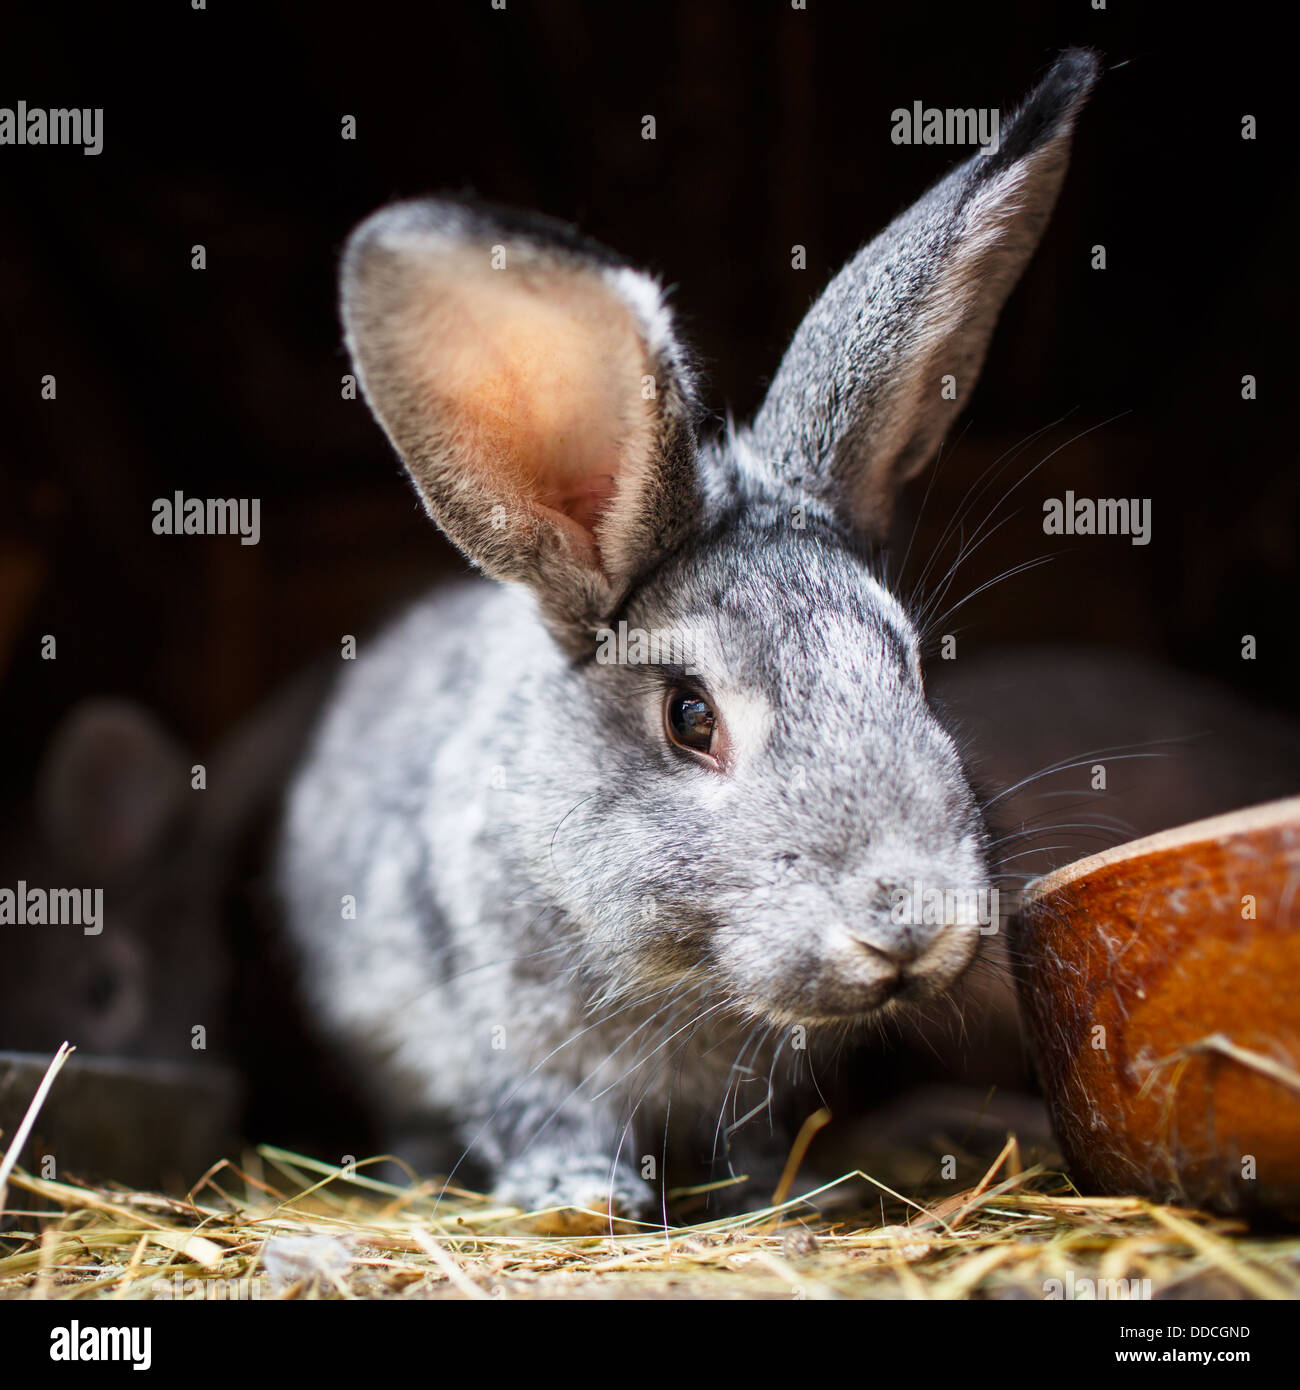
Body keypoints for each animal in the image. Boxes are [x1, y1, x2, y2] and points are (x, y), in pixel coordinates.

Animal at [277, 50, 1100, 1219]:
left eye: (909, 666)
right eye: (689, 716)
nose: (907, 924)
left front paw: (780, 1192)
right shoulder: (505, 1034)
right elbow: (540, 1114)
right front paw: (580, 1194)